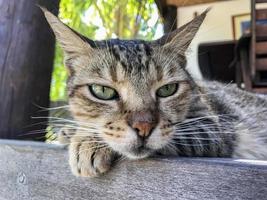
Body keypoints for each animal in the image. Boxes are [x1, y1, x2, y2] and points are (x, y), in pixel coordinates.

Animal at [42, 7, 267, 177]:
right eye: (103, 91)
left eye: (167, 89)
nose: (144, 127)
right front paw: (71, 131)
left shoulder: (212, 127)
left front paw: (87, 141)